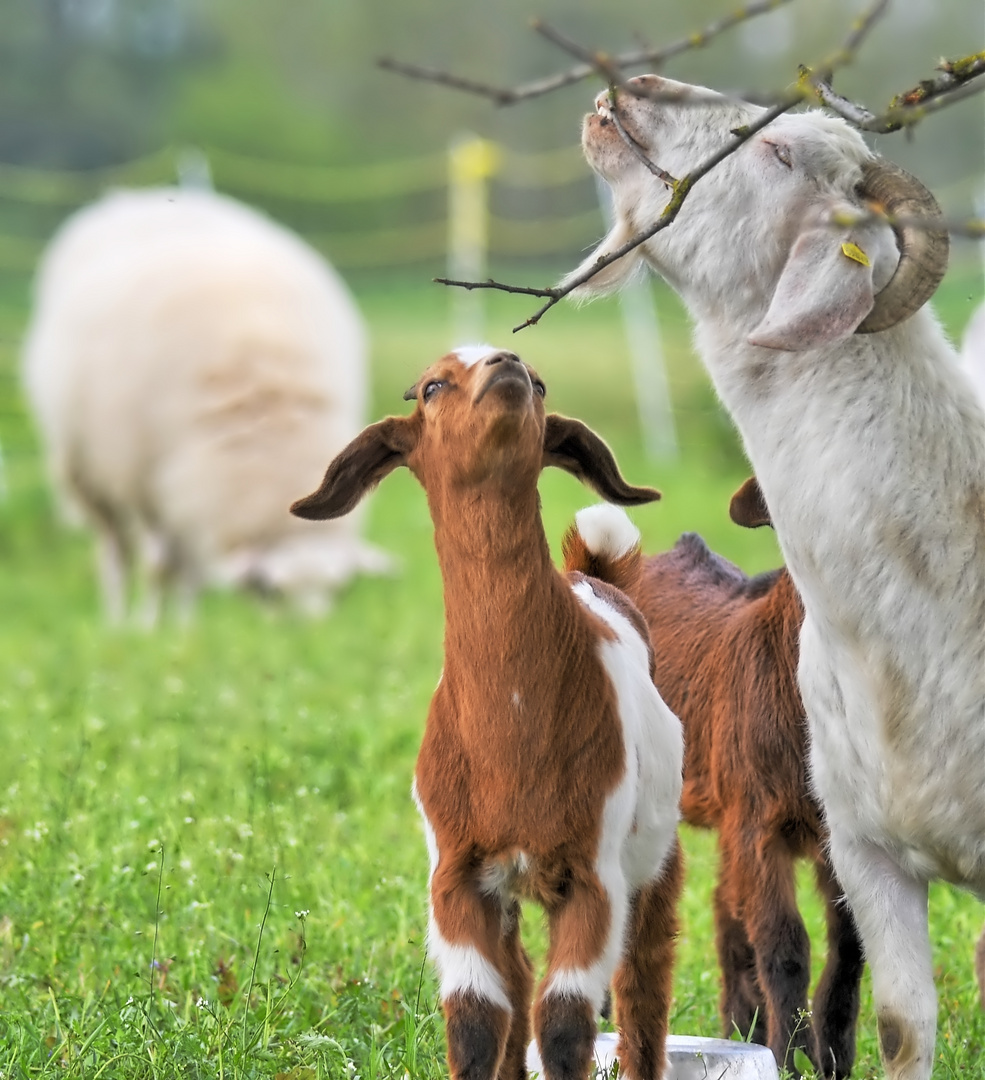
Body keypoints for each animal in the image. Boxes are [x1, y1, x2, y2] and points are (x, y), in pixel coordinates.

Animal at [22, 190, 388, 622]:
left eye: (339, 590)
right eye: (269, 591)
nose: (308, 635)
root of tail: (137, 197)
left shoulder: (197, 489)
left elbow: (189, 571)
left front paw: (185, 629)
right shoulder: (148, 480)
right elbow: (158, 565)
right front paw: (150, 626)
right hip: (91, 471)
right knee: (116, 551)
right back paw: (118, 620)